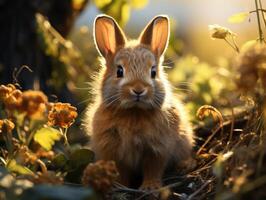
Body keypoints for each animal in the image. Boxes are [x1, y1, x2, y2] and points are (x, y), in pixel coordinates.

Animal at [84, 14, 194, 191]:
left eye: (153, 72)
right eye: (119, 71)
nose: (138, 90)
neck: (134, 111)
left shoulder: (157, 149)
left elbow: (153, 169)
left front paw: (150, 187)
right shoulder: (115, 152)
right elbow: (121, 171)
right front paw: (120, 185)